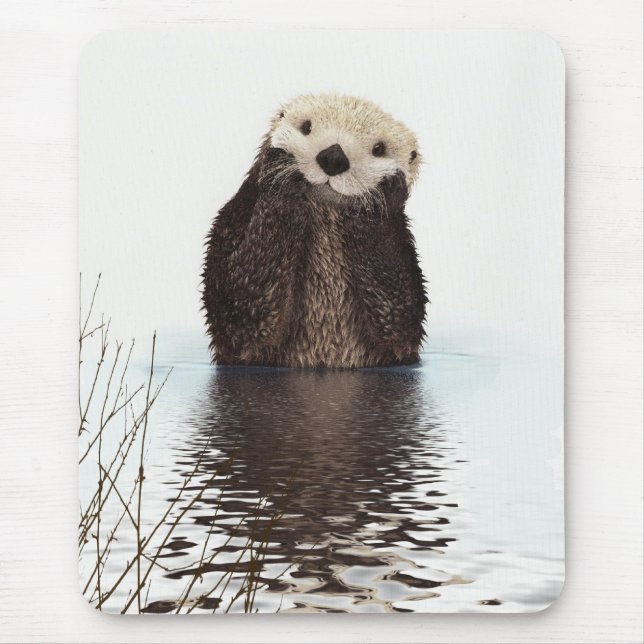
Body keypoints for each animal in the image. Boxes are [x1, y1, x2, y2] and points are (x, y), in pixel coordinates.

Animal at [202, 93, 427, 368]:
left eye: (379, 149)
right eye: (306, 127)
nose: (334, 157)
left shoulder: (403, 254)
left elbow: (400, 317)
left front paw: (380, 196)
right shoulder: (233, 220)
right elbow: (239, 306)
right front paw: (281, 173)